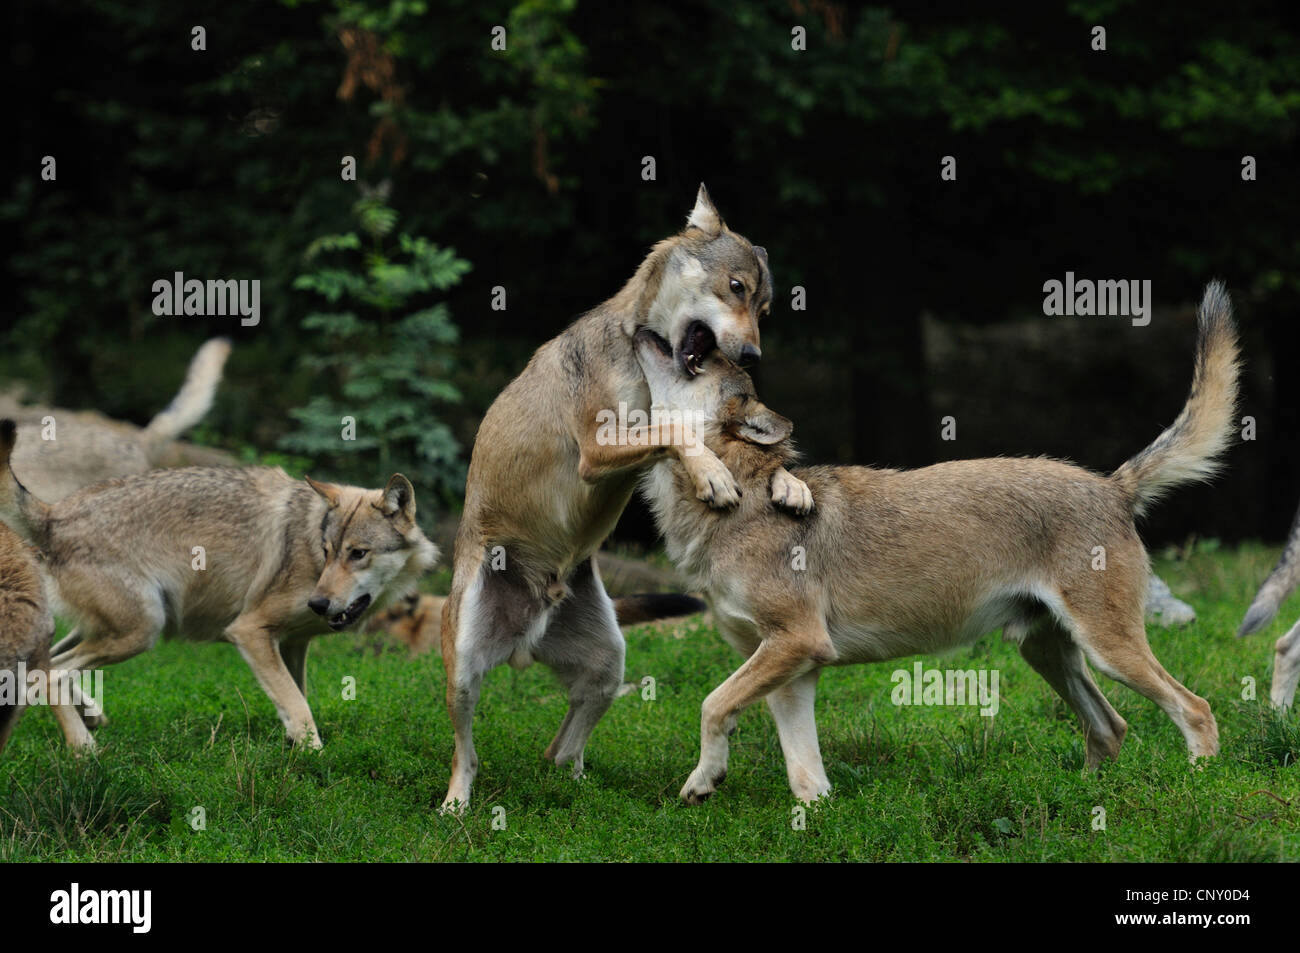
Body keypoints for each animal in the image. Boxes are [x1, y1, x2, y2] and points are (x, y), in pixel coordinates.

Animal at [0, 421, 436, 748]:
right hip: (142, 631)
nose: (319, 604)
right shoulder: (249, 631)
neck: (309, 554)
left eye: (357, 553)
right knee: (50, 675)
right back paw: (83, 751)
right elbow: (299, 707)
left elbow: (296, 699)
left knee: (51, 665)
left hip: (110, 631)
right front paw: (315, 758)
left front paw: (293, 749)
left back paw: (91, 717)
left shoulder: (293, 644)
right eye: (327, 551)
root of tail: (53, 514)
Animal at [441, 185, 816, 811]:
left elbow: (724, 443)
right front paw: (715, 476)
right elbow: (678, 434)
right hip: (466, 671)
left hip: (608, 667)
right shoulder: (598, 452)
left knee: (560, 752)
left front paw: (790, 483)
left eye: (764, 310)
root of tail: (528, 632)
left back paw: (584, 792)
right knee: (466, 754)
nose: (752, 357)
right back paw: (456, 806)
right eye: (736, 287)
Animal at [637, 282, 1237, 800]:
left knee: (1195, 709)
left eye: (704, 361)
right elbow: (805, 776)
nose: (647, 328)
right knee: (1111, 728)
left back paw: (1197, 789)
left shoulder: (795, 644)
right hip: (1048, 653)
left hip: (1109, 651)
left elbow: (712, 705)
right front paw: (806, 819)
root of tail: (1113, 485)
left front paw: (703, 779)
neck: (730, 502)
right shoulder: (792, 672)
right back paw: (1087, 800)